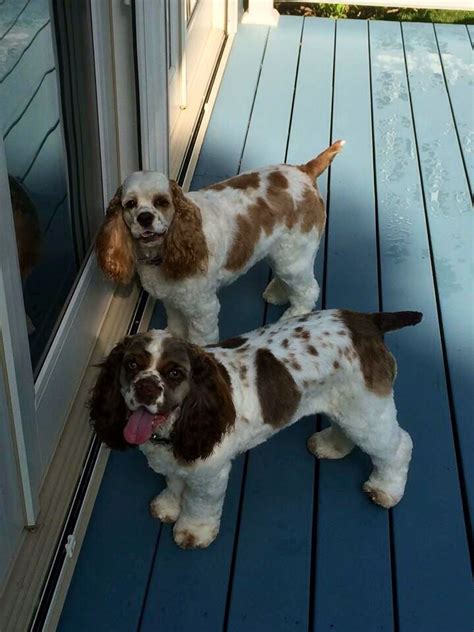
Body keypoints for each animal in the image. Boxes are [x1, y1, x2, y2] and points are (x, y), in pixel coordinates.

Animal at [90, 310, 420, 548]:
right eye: (131, 364)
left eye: (175, 373)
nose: (145, 388)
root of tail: (365, 320)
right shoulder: (176, 463)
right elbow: (173, 484)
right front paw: (168, 506)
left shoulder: (211, 474)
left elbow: (199, 505)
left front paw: (193, 532)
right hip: (349, 405)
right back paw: (330, 445)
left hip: (366, 409)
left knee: (399, 447)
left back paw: (385, 489)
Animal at [95, 142, 344, 346]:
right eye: (130, 204)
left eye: (161, 202)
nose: (144, 218)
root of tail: (305, 170)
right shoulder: (173, 303)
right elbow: (176, 327)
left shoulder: (202, 309)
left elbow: (201, 340)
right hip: (281, 252)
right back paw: (277, 292)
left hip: (294, 255)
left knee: (308, 290)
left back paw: (292, 316)